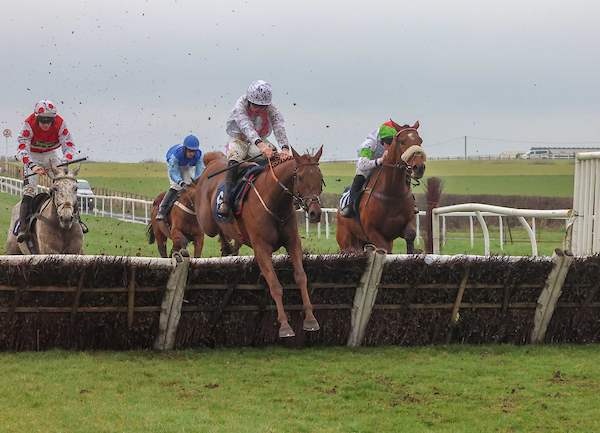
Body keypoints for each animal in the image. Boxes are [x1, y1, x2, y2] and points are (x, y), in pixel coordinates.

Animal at [195, 147, 324, 336]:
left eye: (320, 178)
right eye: (300, 177)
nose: (315, 213)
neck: (275, 202)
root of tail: (212, 161)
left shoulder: (293, 243)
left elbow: (301, 277)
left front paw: (310, 318)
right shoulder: (262, 249)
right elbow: (275, 285)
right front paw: (284, 325)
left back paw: (228, 247)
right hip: (206, 222)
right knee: (214, 228)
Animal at [338, 120, 426, 253]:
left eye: (420, 141)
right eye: (402, 141)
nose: (419, 167)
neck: (392, 194)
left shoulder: (406, 223)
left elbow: (410, 234)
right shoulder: (372, 232)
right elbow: (385, 250)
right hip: (347, 241)